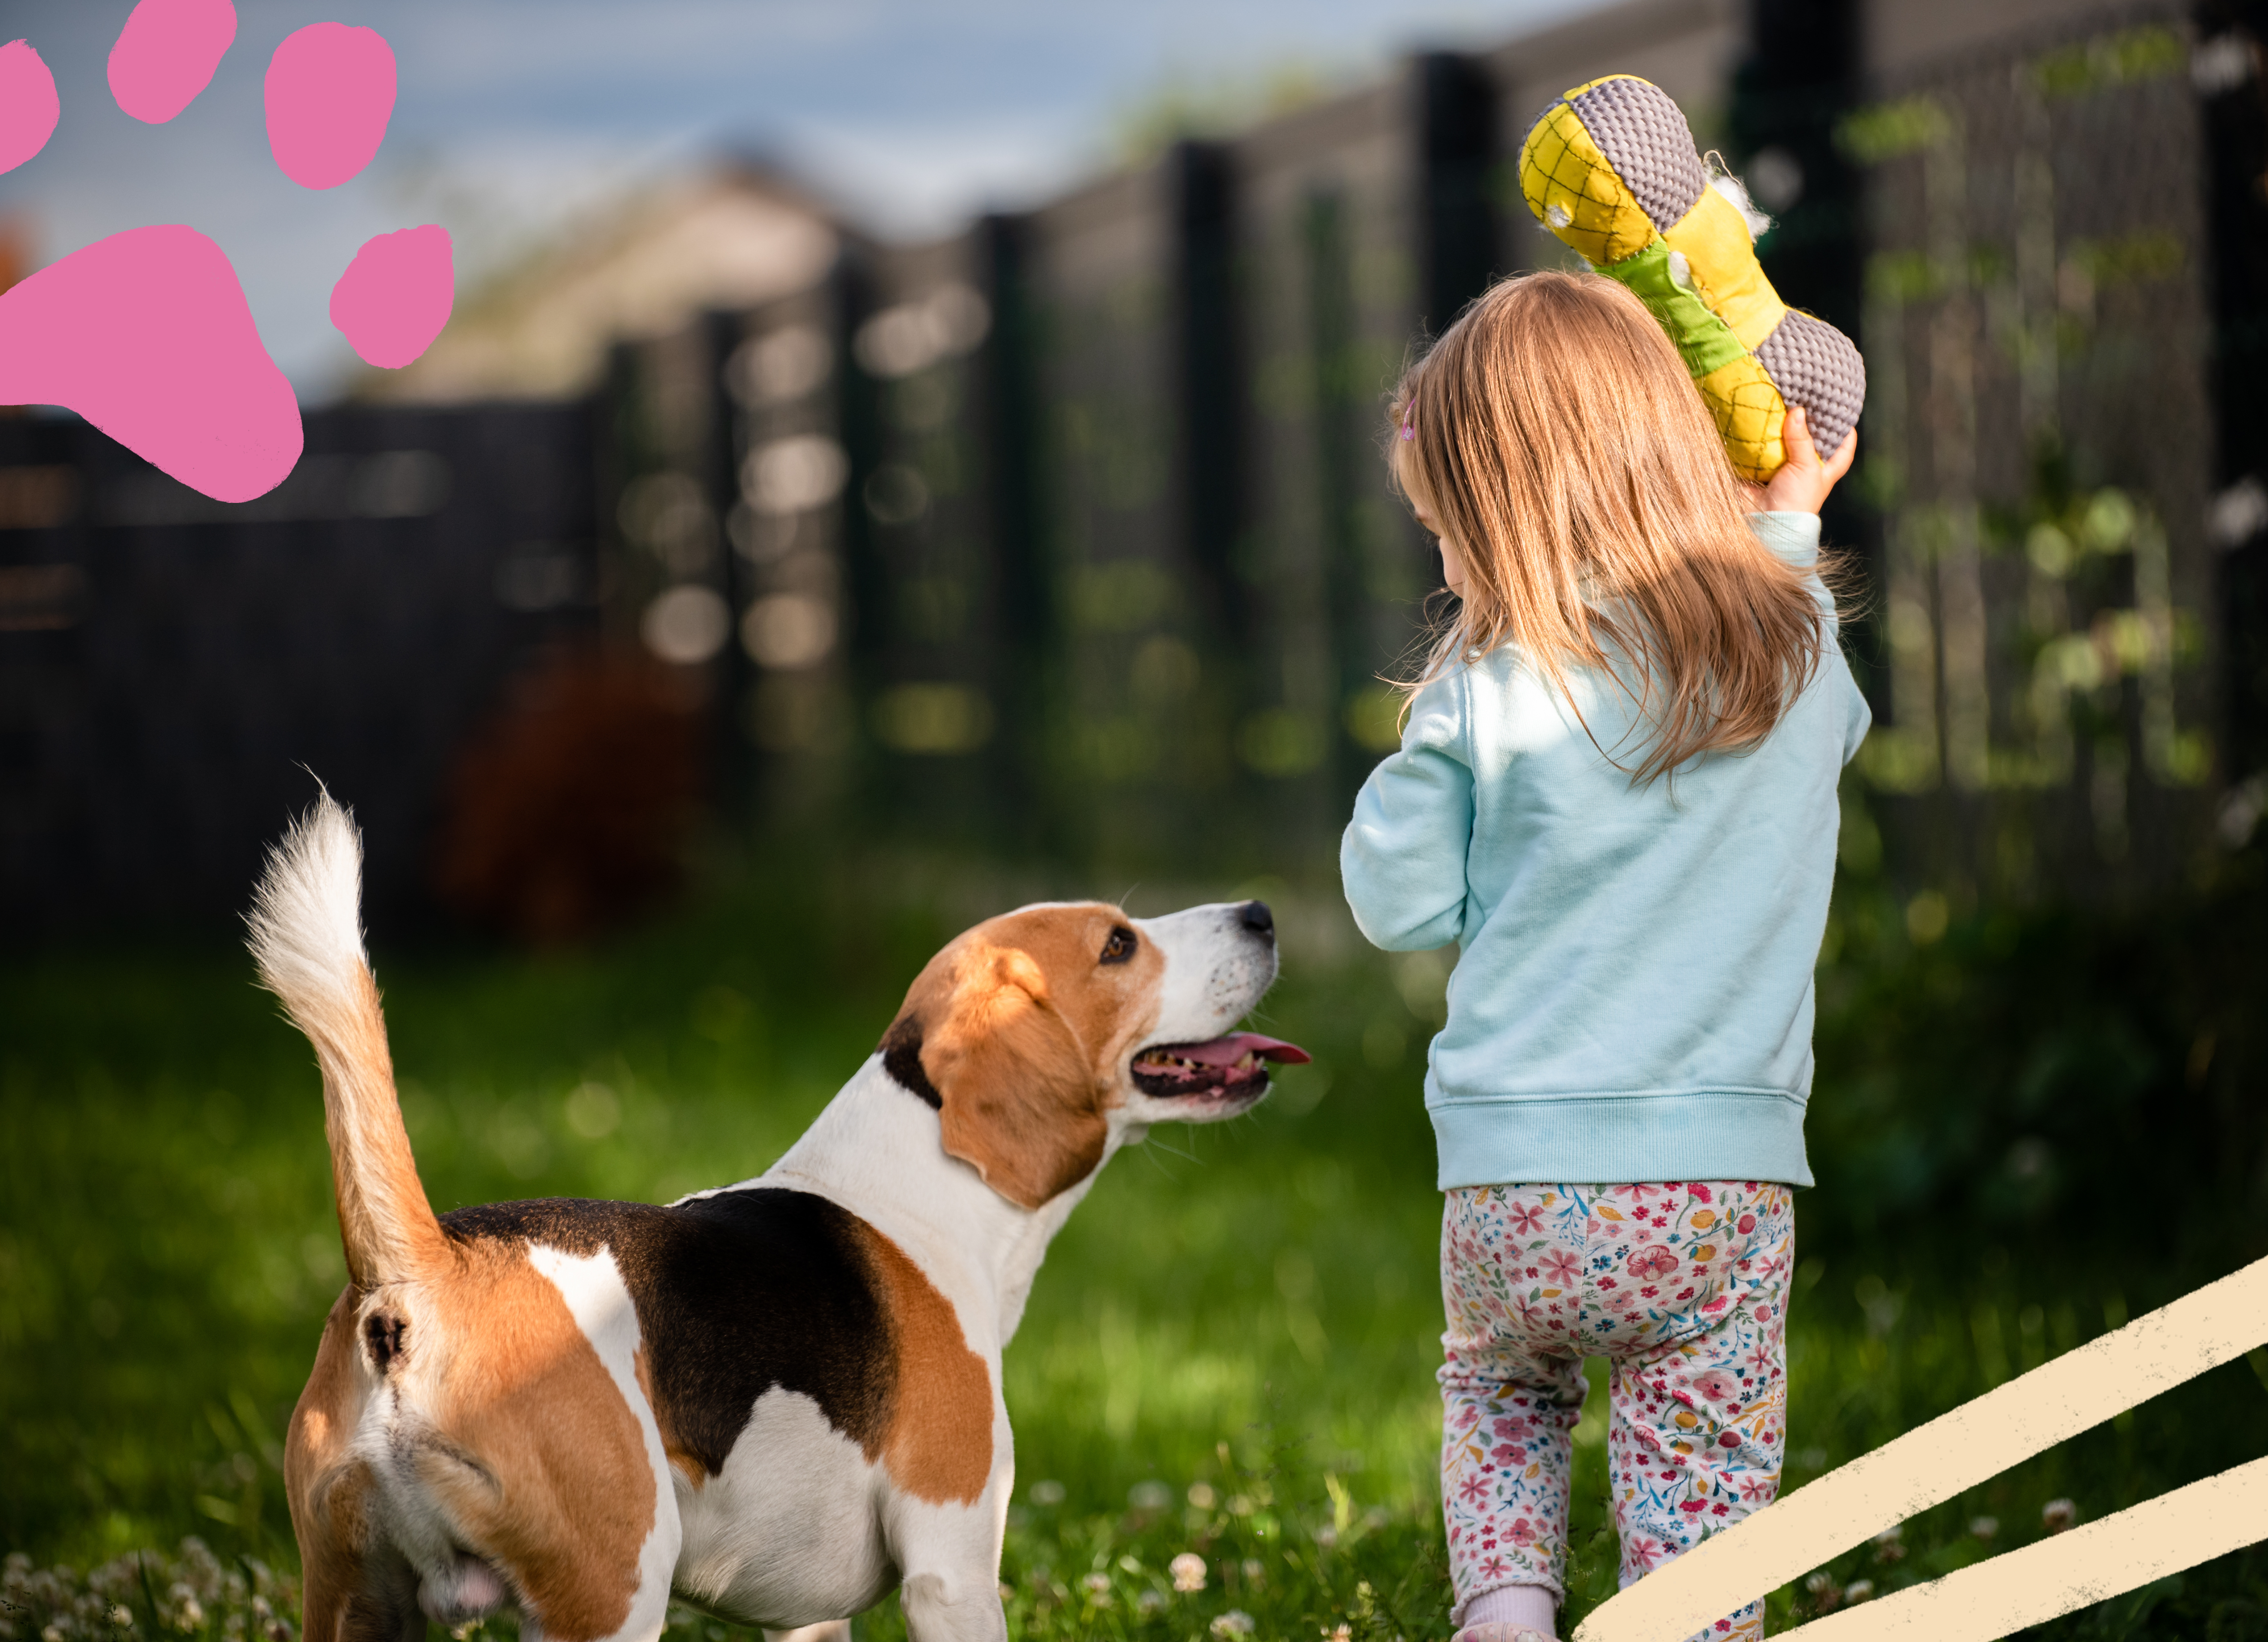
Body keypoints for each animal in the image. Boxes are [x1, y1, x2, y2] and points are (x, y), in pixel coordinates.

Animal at [250, 794, 1315, 1642]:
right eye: (1118, 944)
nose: (1263, 912)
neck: (922, 1188)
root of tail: (423, 1269)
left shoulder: (807, 1617)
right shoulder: (952, 1565)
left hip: (351, 1604)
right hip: (611, 1594)